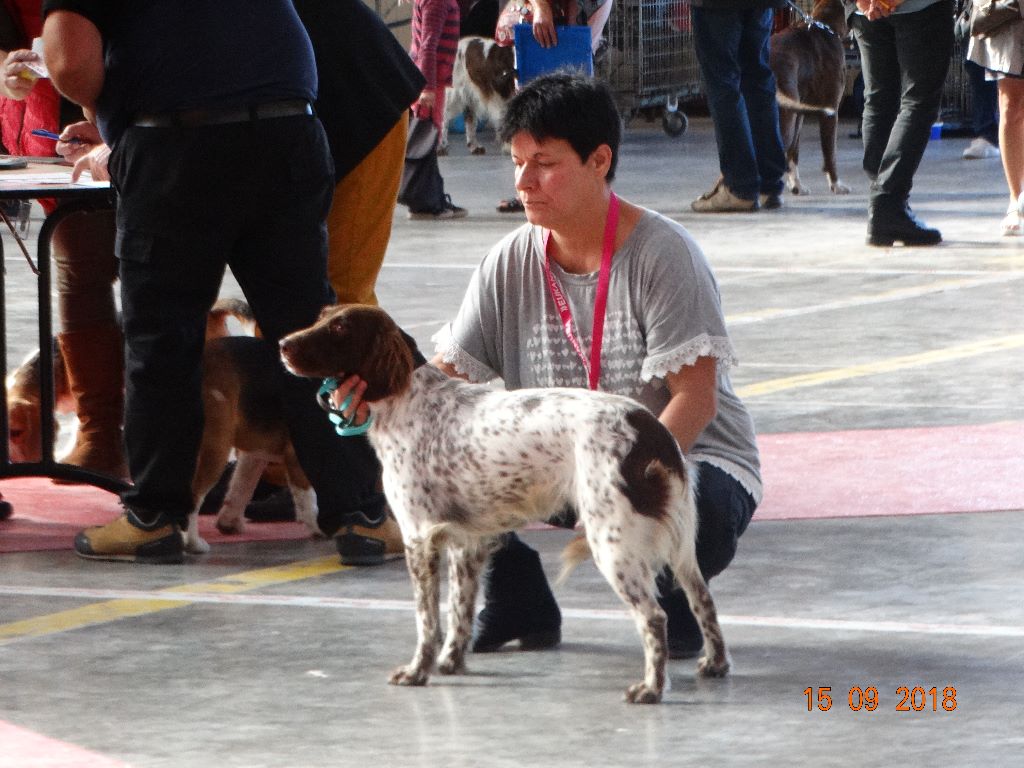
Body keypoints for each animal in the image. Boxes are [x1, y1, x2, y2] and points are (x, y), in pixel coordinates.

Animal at [280, 305, 729, 704]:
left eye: (340, 328)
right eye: (321, 316)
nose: (283, 344)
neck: (409, 400)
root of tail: (649, 430)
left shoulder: (420, 538)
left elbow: (427, 620)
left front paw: (417, 671)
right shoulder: (466, 543)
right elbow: (459, 612)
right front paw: (450, 663)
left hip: (612, 543)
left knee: (654, 617)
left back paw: (651, 688)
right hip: (680, 547)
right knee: (703, 599)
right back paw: (715, 664)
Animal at [770, 0, 851, 195]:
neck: (826, 25)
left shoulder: (799, 113)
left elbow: (793, 152)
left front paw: (796, 185)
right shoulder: (831, 109)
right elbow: (830, 153)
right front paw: (836, 185)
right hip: (785, 119)